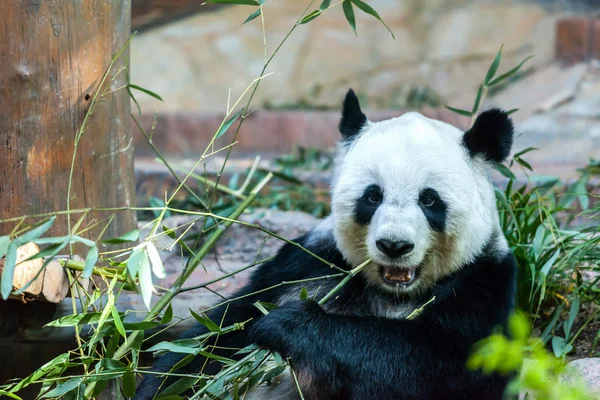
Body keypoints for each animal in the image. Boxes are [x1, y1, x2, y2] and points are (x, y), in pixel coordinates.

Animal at [135, 90, 516, 400]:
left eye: (429, 200)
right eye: (372, 196)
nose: (394, 245)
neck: (392, 293)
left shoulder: (484, 284)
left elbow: (432, 365)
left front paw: (288, 325)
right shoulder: (308, 261)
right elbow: (219, 334)